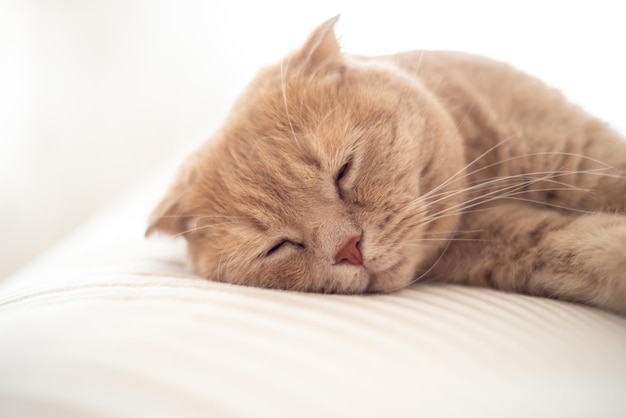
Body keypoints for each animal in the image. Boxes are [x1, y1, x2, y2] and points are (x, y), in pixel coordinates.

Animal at [146, 18, 624, 316]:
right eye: (278, 246)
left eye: (344, 171)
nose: (349, 249)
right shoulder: (509, 239)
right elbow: (582, 245)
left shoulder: (587, 153)